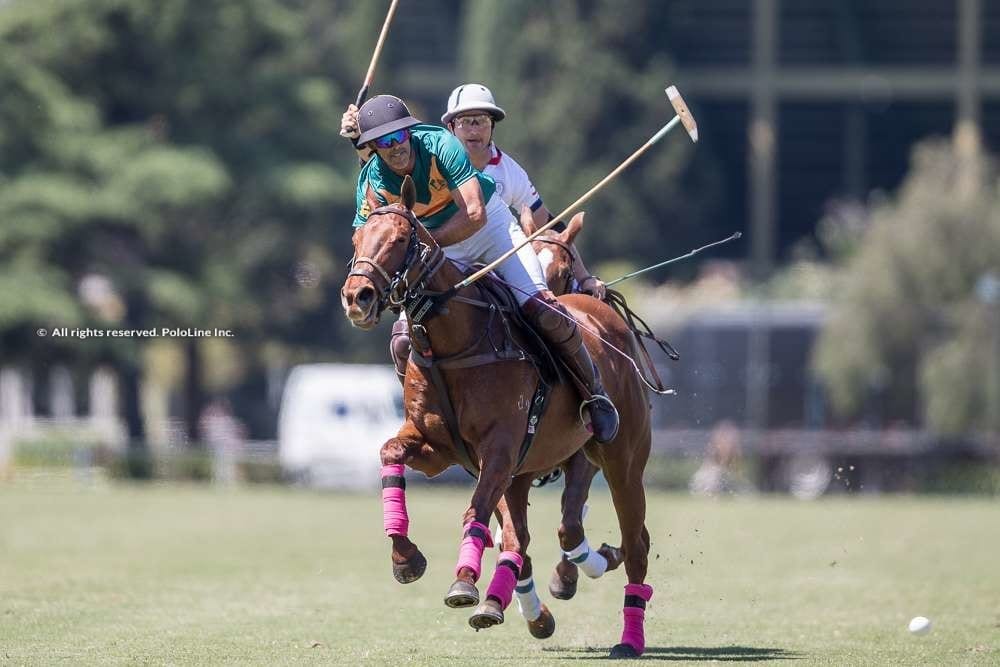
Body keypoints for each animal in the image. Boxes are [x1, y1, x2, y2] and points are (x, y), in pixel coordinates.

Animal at [342, 176, 656, 656]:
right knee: (523, 537)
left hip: (622, 460)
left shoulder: (501, 450)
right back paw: (523, 606)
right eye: (357, 239)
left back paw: (628, 637)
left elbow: (479, 515)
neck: (453, 344)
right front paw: (406, 558)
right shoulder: (439, 449)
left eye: (398, 240)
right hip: (527, 471)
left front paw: (464, 584)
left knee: (634, 543)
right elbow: (390, 453)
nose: (356, 297)